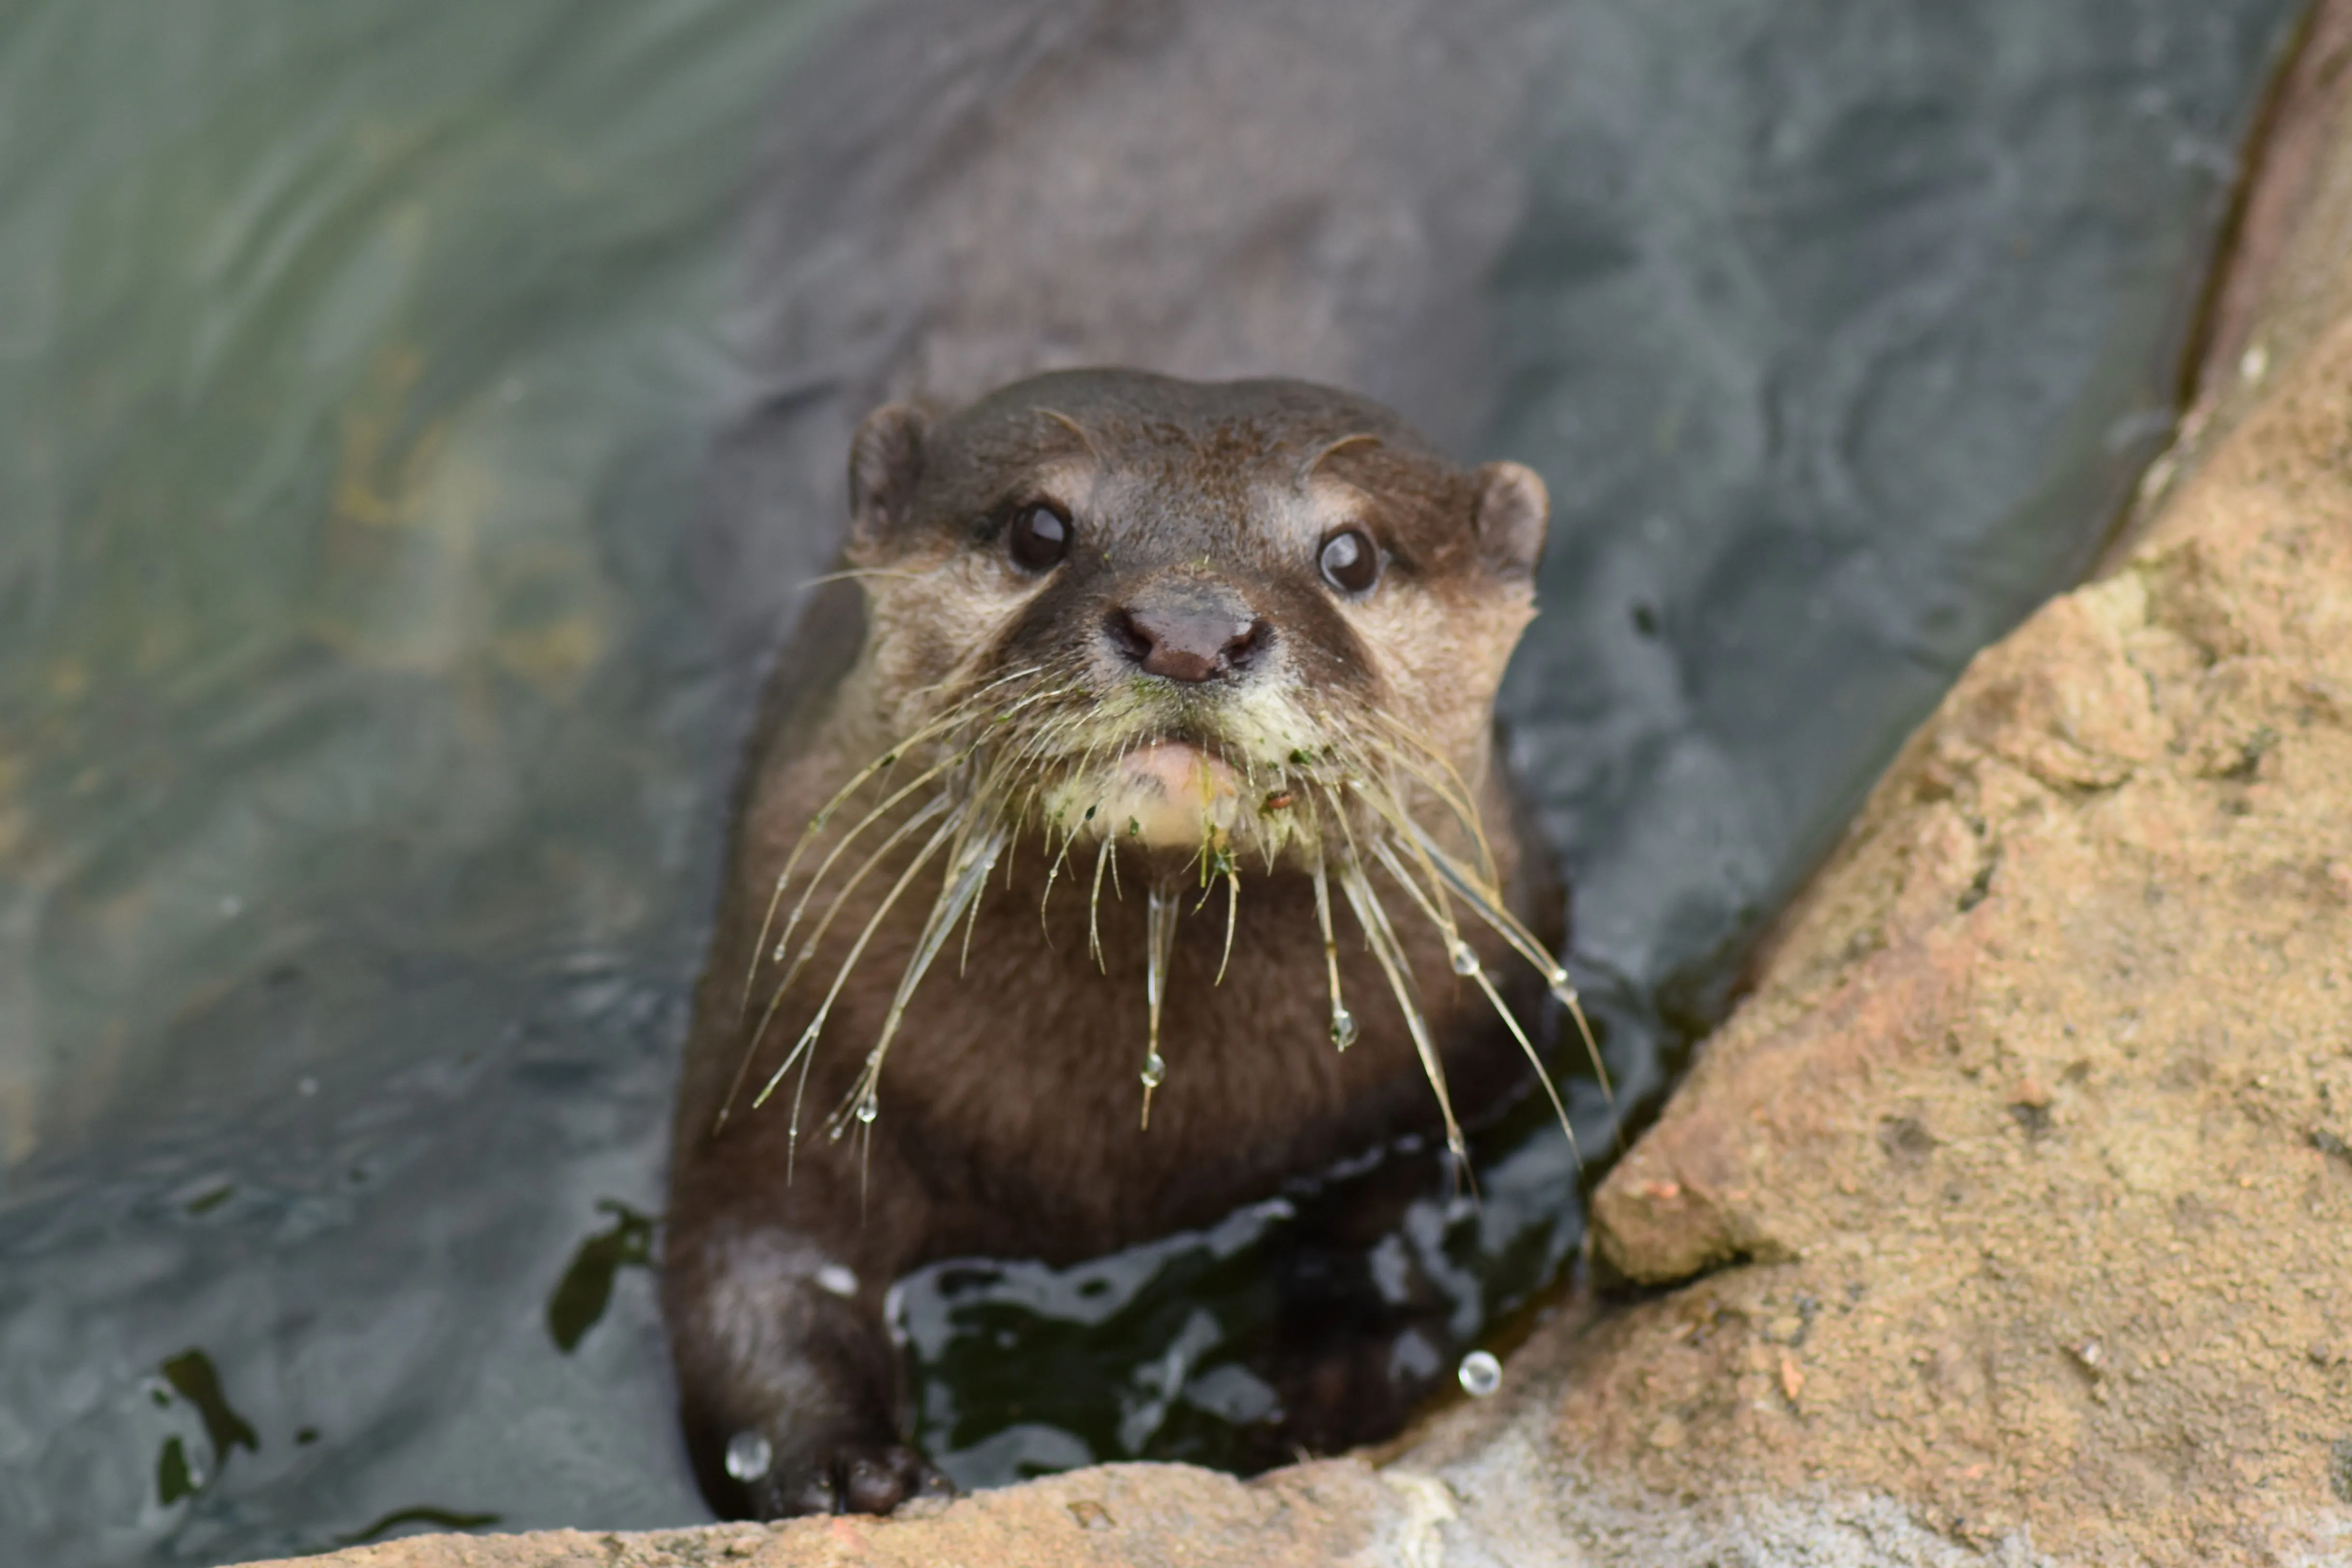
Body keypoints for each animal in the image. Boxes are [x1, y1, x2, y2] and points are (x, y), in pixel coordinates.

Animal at [664, 368, 1580, 1518]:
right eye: (1038, 527)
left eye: (1351, 554)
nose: (1189, 628)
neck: (1126, 1148)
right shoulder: (786, 1022)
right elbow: (750, 1270)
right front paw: (849, 1467)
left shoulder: (1449, 1073)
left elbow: (1383, 1220)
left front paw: (1339, 1378)